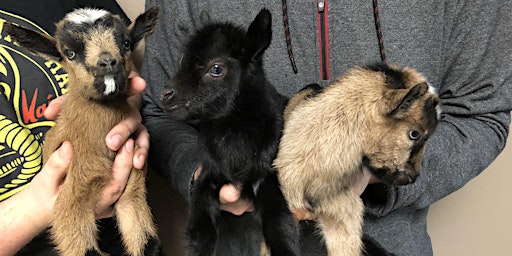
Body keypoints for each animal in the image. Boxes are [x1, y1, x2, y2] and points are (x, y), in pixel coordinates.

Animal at [5, 7, 159, 255]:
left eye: (126, 43)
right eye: (70, 53)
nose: (107, 62)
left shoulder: (132, 189)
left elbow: (147, 242)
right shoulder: (73, 191)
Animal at [162, 8, 300, 256]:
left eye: (216, 69)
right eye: (181, 60)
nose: (165, 95)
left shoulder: (266, 177)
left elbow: (279, 225)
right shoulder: (208, 176)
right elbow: (201, 231)